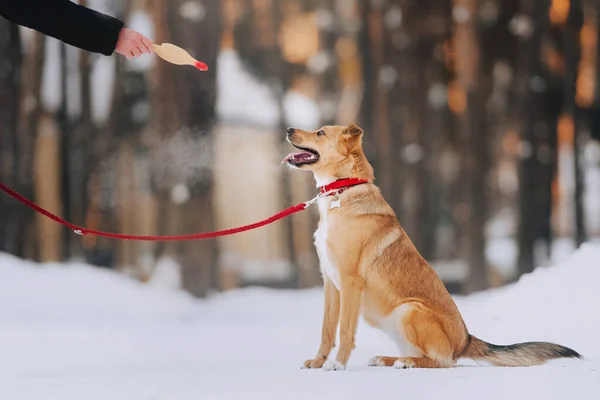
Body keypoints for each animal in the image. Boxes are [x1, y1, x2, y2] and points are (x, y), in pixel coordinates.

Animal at [282, 123, 580, 370]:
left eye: (320, 132)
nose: (288, 129)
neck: (342, 192)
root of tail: (466, 340)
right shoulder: (331, 284)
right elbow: (327, 330)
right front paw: (318, 362)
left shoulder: (350, 282)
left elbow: (344, 331)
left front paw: (338, 364)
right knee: (421, 355)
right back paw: (390, 359)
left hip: (409, 310)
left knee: (442, 362)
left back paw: (406, 363)